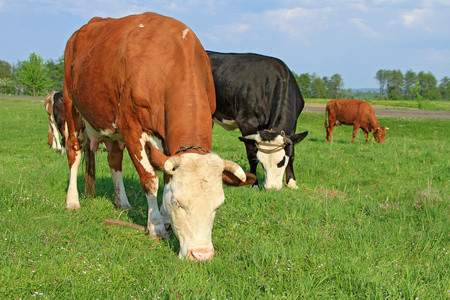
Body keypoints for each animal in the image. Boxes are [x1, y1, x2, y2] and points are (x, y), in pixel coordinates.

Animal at [62, 12, 255, 260]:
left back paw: (122, 202)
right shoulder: (131, 127)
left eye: (218, 205)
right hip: (71, 107)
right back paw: (72, 201)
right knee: (74, 153)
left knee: (114, 160)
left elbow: (165, 176)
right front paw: (156, 226)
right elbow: (151, 180)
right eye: (178, 202)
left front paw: (165, 219)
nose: (201, 255)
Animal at [207, 50, 310, 189]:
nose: (271, 188)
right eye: (262, 162)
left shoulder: (294, 124)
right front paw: (254, 184)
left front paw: (292, 182)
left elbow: (292, 153)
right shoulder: (247, 122)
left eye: (281, 161)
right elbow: (251, 155)